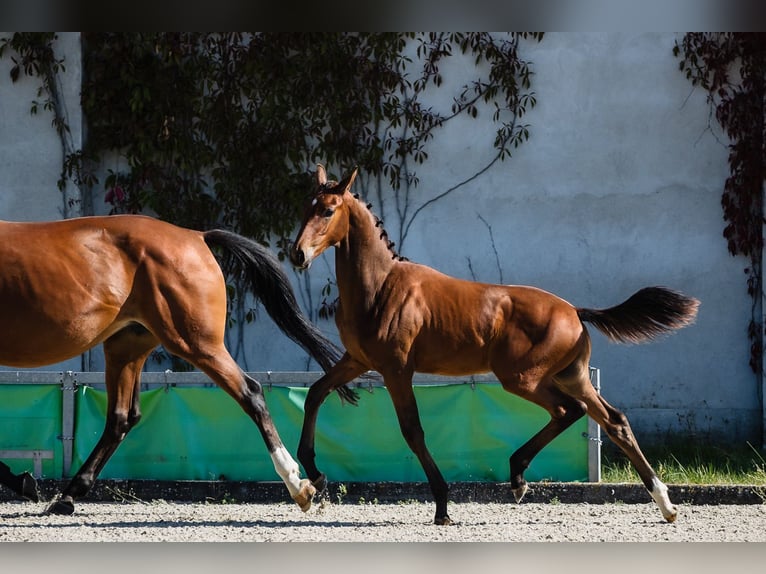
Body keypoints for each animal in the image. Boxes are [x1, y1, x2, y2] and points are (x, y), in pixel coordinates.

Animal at [0, 214, 360, 516]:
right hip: (126, 346)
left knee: (251, 393)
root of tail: (196, 236)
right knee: (121, 418)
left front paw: (21, 481)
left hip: (195, 343)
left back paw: (299, 485)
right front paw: (23, 481)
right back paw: (68, 496)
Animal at [290, 165, 704, 528]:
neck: (380, 287)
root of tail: (574, 310)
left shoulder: (396, 369)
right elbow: (315, 394)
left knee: (568, 410)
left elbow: (412, 430)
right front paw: (315, 476)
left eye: (328, 210)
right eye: (305, 207)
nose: (298, 254)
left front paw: (443, 506)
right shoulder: (357, 360)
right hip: (572, 376)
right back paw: (665, 504)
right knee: (611, 420)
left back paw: (519, 477)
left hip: (522, 378)